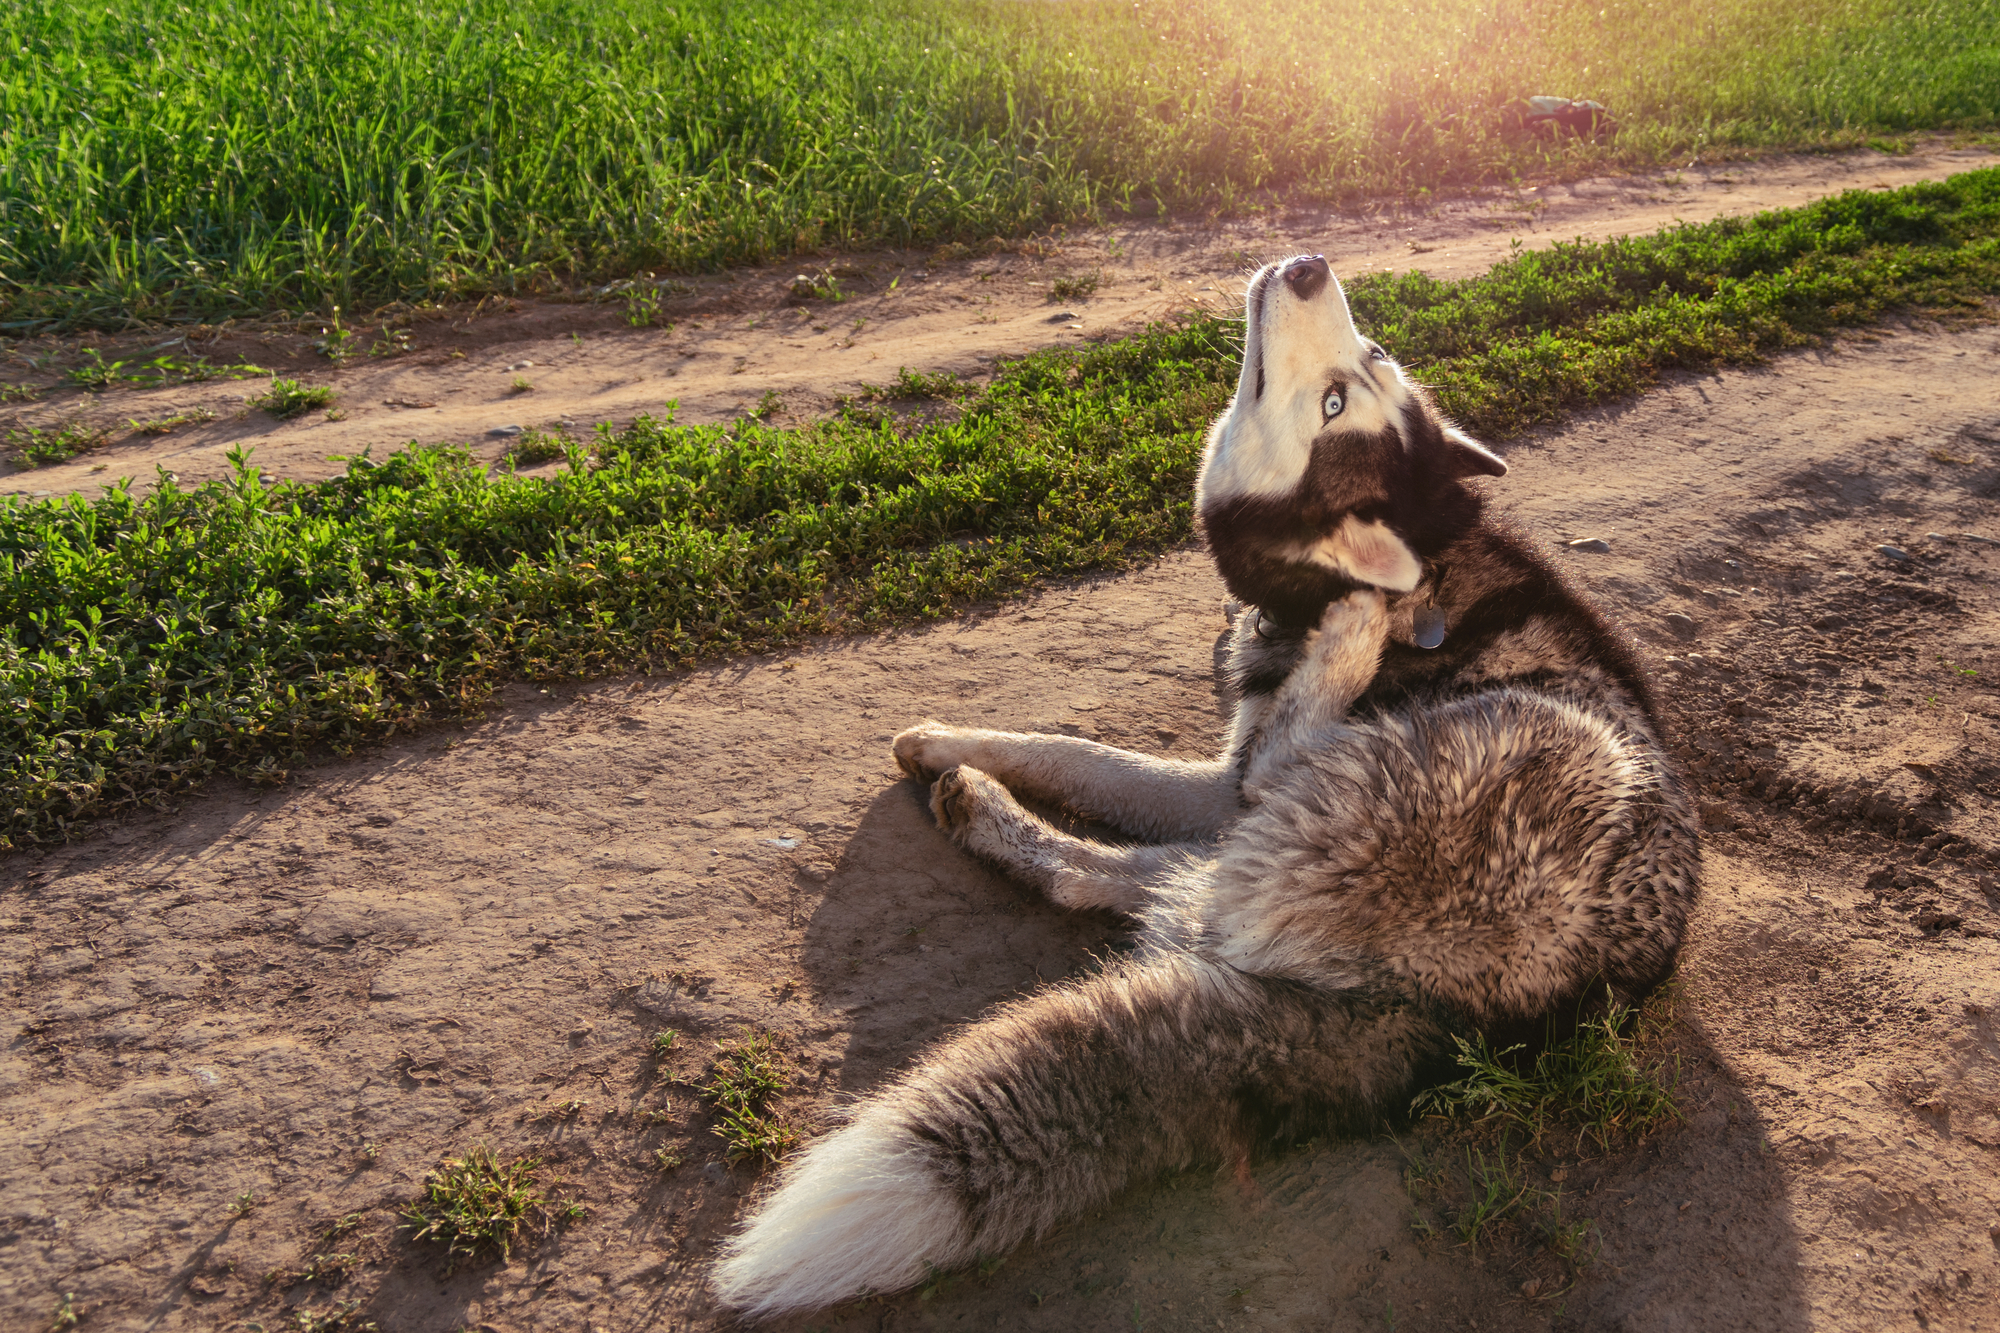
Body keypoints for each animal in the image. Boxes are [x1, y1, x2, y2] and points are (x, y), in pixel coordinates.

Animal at [712, 254, 1696, 1312]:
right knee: (1144, 882)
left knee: (1148, 884)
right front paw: (943, 740)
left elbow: (1100, 759)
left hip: (1418, 792)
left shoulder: (1241, 783)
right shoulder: (1217, 783)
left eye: (1335, 400)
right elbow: (1080, 752)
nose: (1309, 266)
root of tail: (1466, 1024)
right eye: (1370, 360)